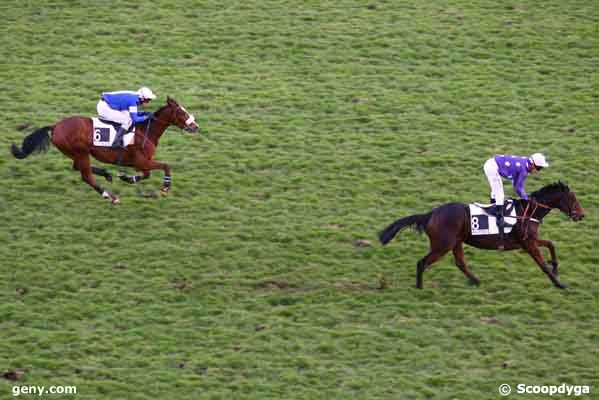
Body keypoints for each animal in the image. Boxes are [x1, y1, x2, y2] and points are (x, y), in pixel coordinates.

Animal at [10, 96, 199, 203]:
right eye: (182, 113)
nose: (195, 126)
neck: (145, 130)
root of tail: (55, 126)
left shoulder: (140, 163)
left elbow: (146, 174)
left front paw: (126, 178)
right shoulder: (141, 161)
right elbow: (166, 166)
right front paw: (165, 188)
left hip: (77, 153)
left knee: (78, 168)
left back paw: (107, 175)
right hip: (80, 152)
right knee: (86, 176)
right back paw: (110, 196)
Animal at [380, 183, 584, 290]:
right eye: (573, 199)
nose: (581, 215)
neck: (527, 212)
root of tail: (430, 214)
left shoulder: (529, 241)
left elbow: (550, 244)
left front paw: (555, 267)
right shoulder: (528, 243)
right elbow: (542, 263)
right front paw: (559, 283)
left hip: (456, 242)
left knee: (460, 263)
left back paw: (475, 280)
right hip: (443, 245)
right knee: (422, 262)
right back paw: (420, 287)